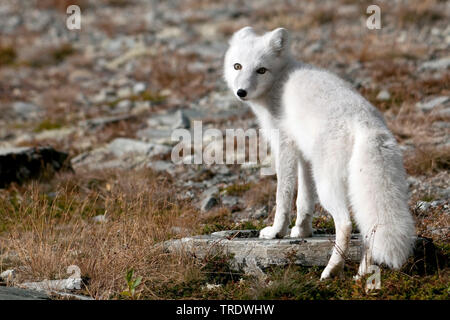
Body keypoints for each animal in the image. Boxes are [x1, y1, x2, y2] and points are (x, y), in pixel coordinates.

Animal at [223, 26, 416, 278]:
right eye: (237, 66)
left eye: (261, 70)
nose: (241, 92)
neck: (278, 81)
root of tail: (366, 123)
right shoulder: (305, 157)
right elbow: (304, 200)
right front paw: (302, 231)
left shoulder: (285, 146)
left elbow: (284, 196)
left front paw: (276, 231)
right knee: (369, 228)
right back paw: (362, 274)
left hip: (327, 184)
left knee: (345, 223)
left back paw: (331, 270)